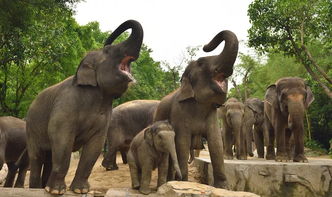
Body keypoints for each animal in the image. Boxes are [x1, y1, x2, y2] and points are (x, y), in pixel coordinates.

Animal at [26, 19, 143, 195]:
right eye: (108, 50)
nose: (106, 42)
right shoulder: (66, 105)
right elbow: (62, 140)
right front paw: (56, 191)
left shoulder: (105, 117)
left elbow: (95, 146)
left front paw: (80, 190)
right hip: (31, 129)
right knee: (36, 157)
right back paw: (36, 189)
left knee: (48, 158)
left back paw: (43, 187)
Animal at [154, 29, 239, 188]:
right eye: (200, 62)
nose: (205, 46)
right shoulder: (179, 113)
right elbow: (182, 142)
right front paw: (183, 183)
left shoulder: (212, 114)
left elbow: (216, 143)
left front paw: (224, 187)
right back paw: (168, 182)